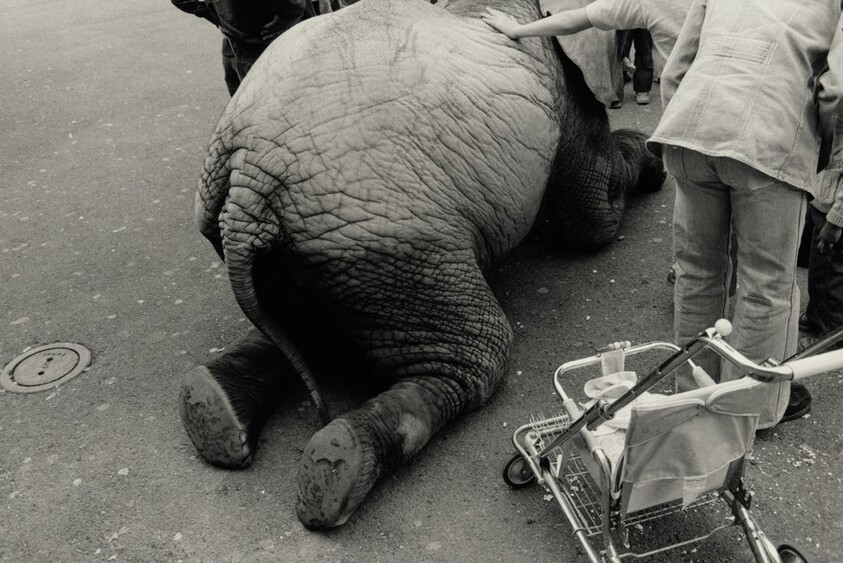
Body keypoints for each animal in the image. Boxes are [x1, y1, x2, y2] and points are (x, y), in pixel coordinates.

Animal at [178, 0, 665, 530]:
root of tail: (250, 178)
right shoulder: (562, 85)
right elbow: (592, 222)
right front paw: (651, 161)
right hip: (392, 243)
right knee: (480, 354)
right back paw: (337, 468)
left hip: (318, 244)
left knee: (298, 328)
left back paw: (215, 407)